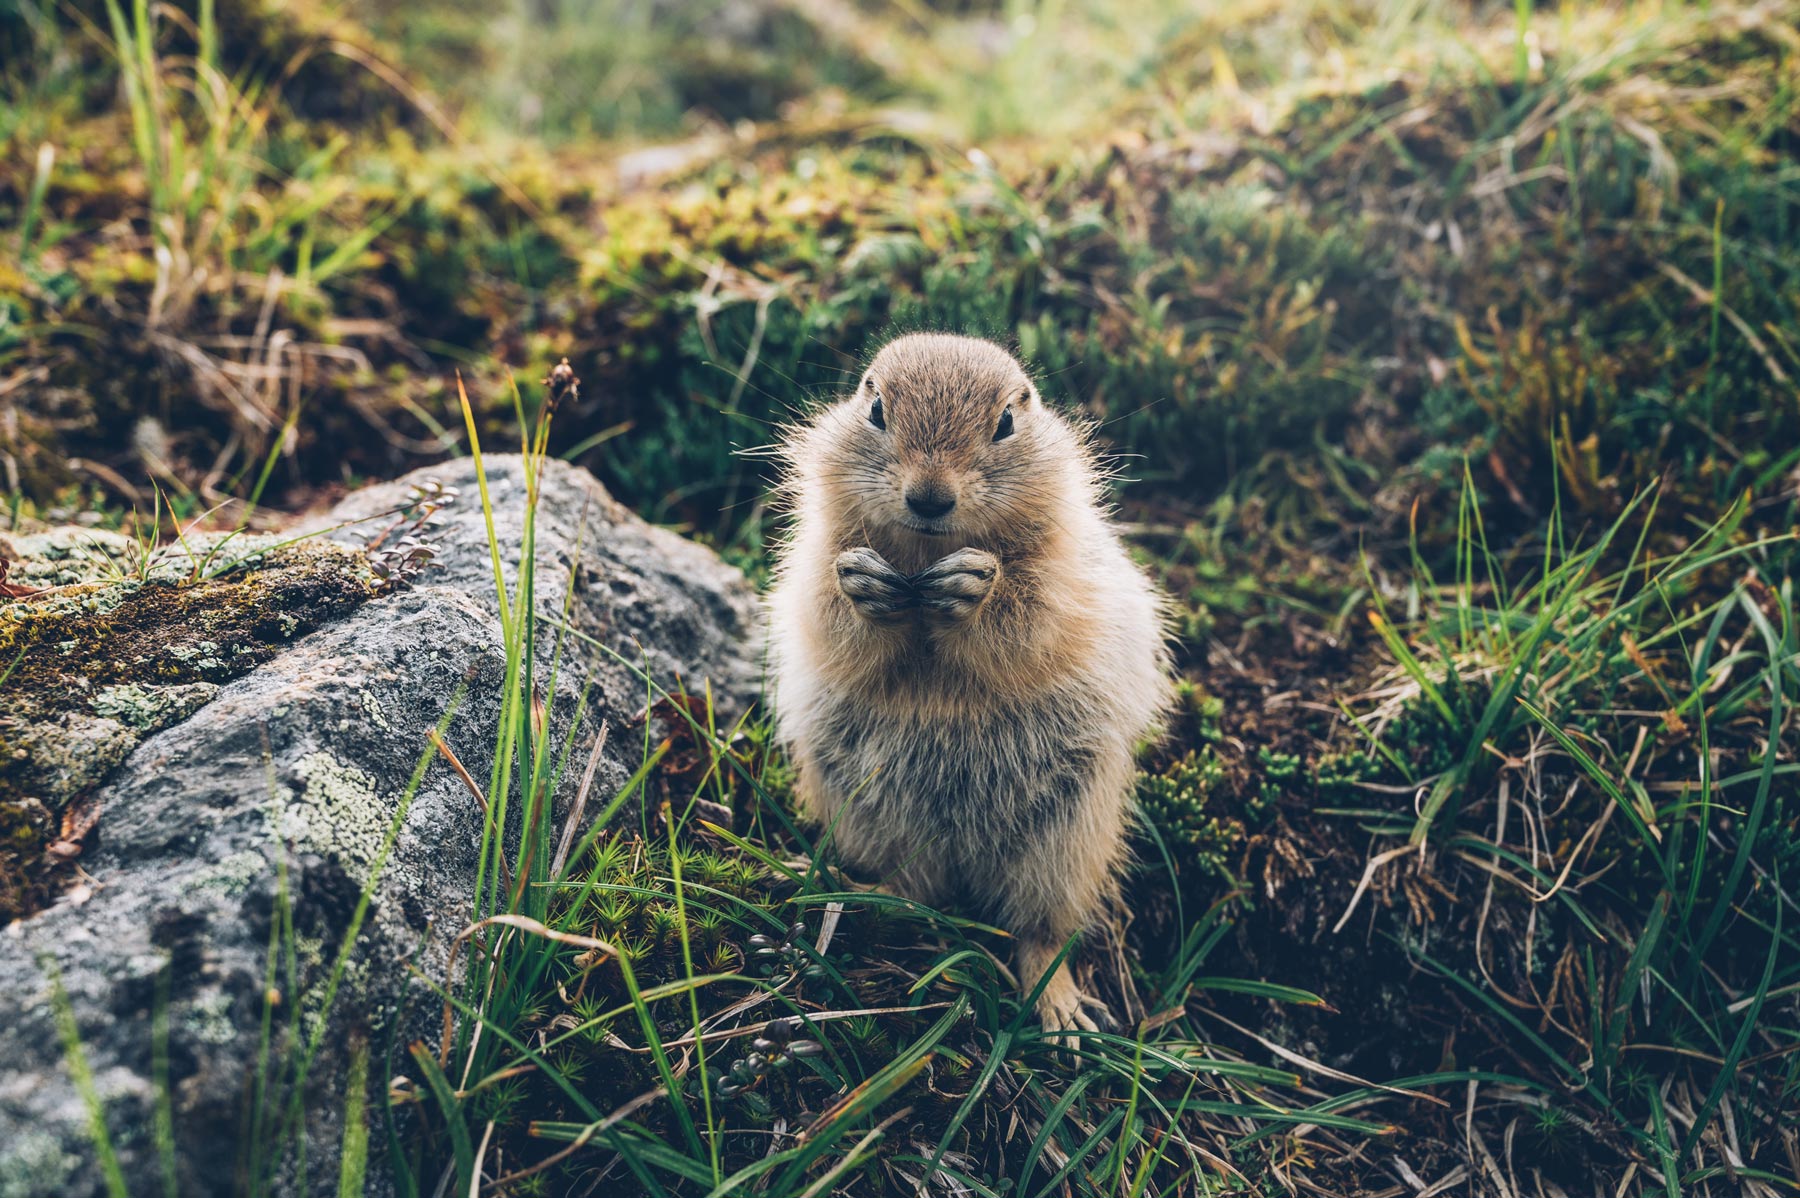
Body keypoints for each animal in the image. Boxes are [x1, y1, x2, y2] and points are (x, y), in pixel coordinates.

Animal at [766, 330, 1173, 1028]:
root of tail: (959, 860)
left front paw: (973, 588)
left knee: (1041, 931)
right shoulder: (814, 556)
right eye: (875, 410)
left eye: (1007, 421)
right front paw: (861, 584)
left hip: (1067, 841)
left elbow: (1032, 617)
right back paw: (841, 890)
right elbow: (825, 611)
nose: (930, 496)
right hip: (867, 813)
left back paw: (1062, 1014)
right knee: (912, 892)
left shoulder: (1063, 575)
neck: (926, 555)